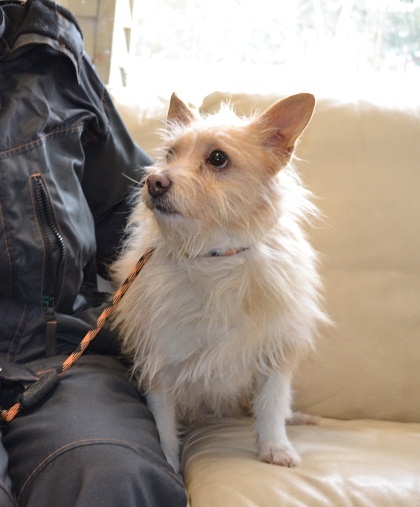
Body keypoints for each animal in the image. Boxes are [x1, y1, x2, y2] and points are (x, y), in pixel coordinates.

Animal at [111, 92, 328, 473]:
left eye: (217, 159)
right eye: (170, 154)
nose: (154, 182)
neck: (214, 257)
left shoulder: (275, 351)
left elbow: (272, 405)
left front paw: (275, 447)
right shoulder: (160, 364)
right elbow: (163, 425)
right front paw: (169, 464)